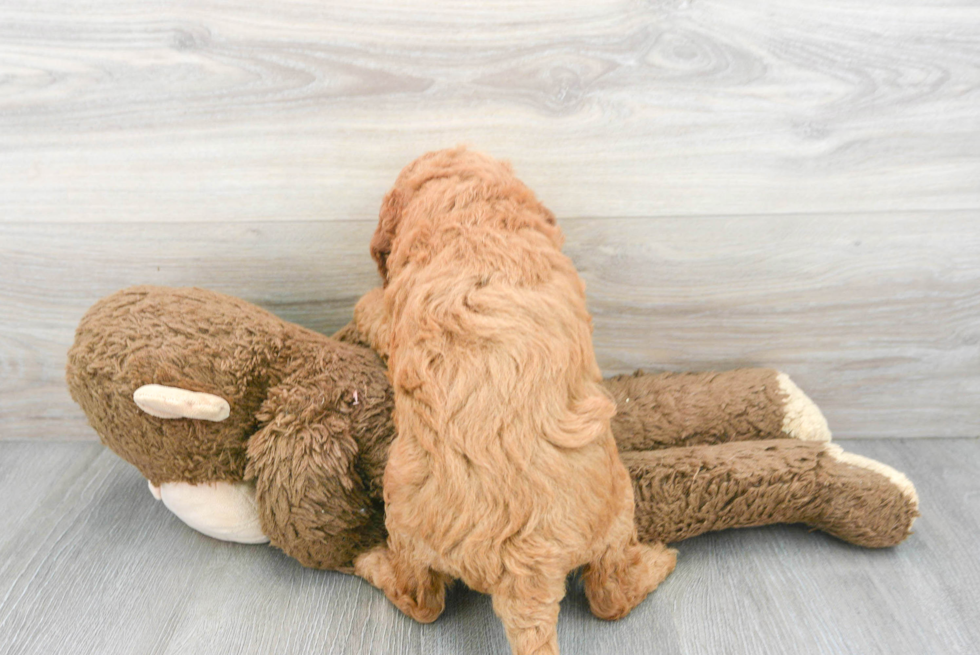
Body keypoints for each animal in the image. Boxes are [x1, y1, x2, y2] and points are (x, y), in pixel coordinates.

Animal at [356, 149, 676, 655]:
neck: (470, 208)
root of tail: (525, 569)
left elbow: (368, 306)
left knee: (424, 600)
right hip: (612, 504)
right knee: (607, 595)